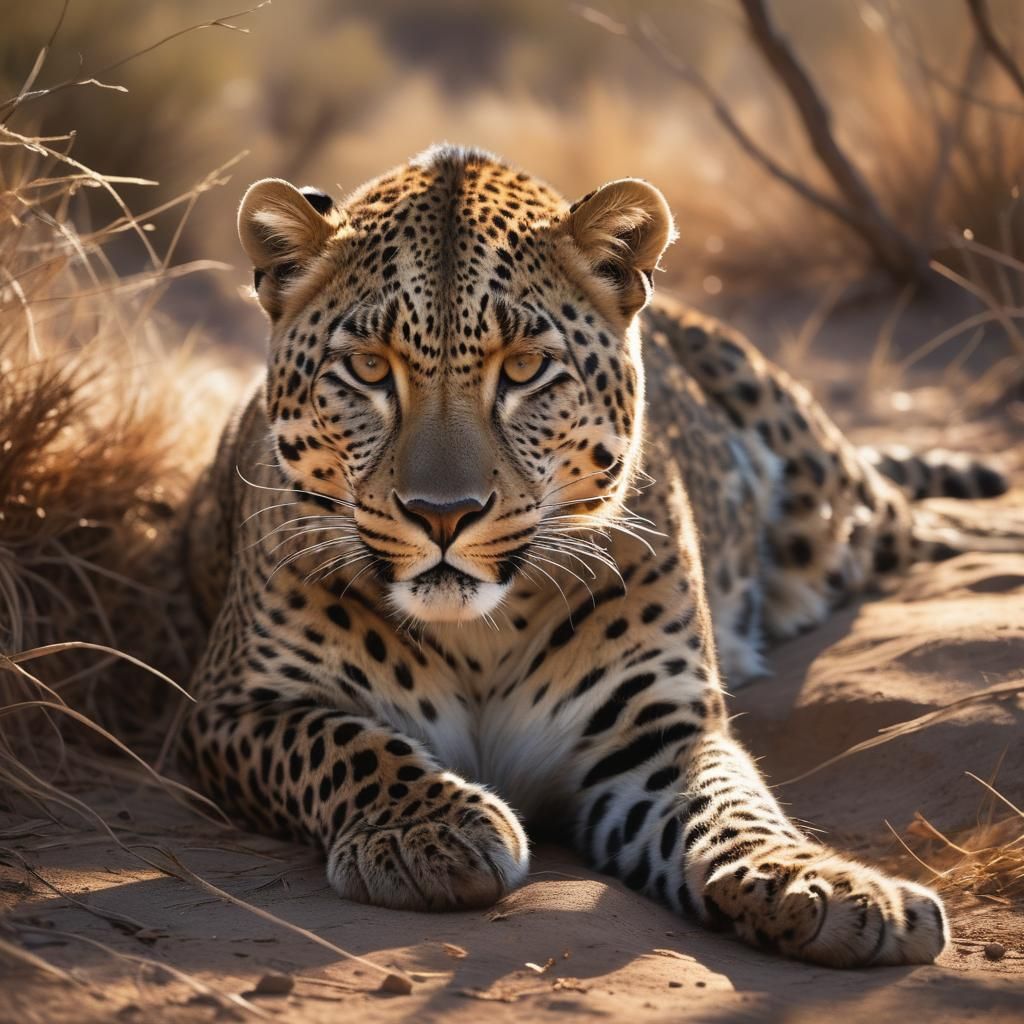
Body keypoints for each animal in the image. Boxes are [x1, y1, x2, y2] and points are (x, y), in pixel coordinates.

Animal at [181, 144, 1017, 969]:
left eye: (524, 370)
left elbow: (733, 808)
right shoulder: (232, 705)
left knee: (922, 518)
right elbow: (345, 742)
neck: (477, 635)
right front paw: (427, 830)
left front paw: (825, 886)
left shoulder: (654, 728)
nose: (443, 514)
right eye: (367, 370)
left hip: (834, 507)